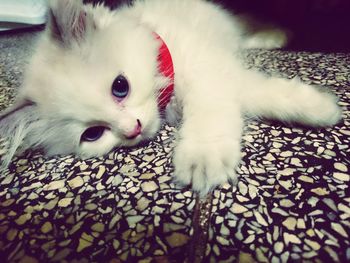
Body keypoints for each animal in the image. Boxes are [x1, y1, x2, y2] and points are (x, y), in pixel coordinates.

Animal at [0, 0, 340, 194]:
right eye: (93, 134)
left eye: (120, 86)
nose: (133, 129)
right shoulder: (221, 74)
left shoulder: (208, 70)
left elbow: (216, 112)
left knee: (246, 23)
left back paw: (277, 35)